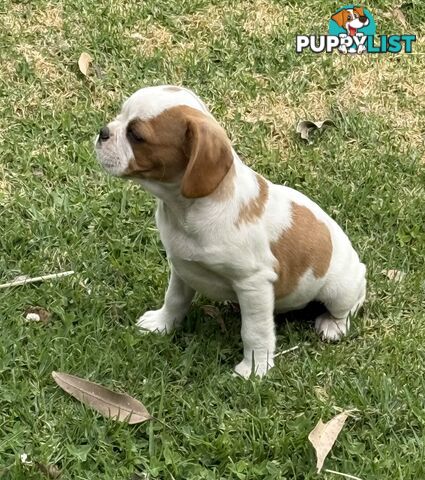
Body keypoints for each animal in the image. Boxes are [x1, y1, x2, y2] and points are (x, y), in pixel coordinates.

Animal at [95, 86, 364, 378]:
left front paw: (254, 369)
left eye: (136, 135)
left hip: (338, 288)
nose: (102, 132)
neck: (186, 209)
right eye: (120, 116)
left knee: (351, 304)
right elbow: (174, 299)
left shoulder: (253, 283)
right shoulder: (181, 268)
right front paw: (161, 324)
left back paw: (333, 325)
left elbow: (254, 331)